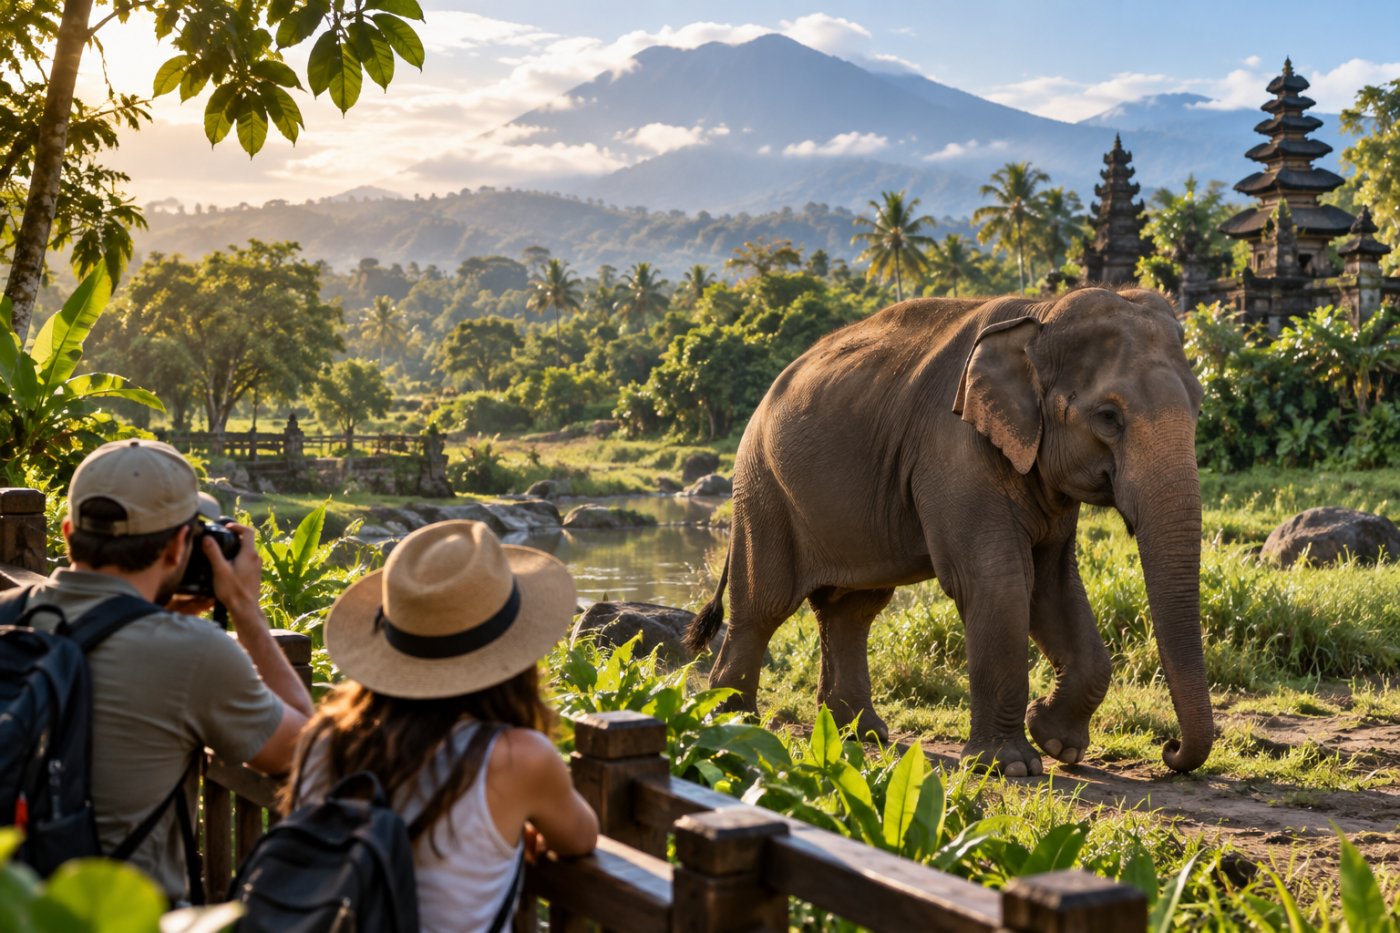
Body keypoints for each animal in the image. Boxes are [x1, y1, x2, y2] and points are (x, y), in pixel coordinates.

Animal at [684, 287, 1211, 775]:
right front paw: (1009, 766)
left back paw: (860, 734)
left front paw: (1058, 743)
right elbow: (998, 581)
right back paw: (734, 723)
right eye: (1108, 417)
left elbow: (1052, 586)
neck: (1041, 312)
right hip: (762, 487)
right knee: (765, 604)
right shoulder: (953, 448)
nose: (1169, 751)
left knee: (851, 609)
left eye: (1200, 406)